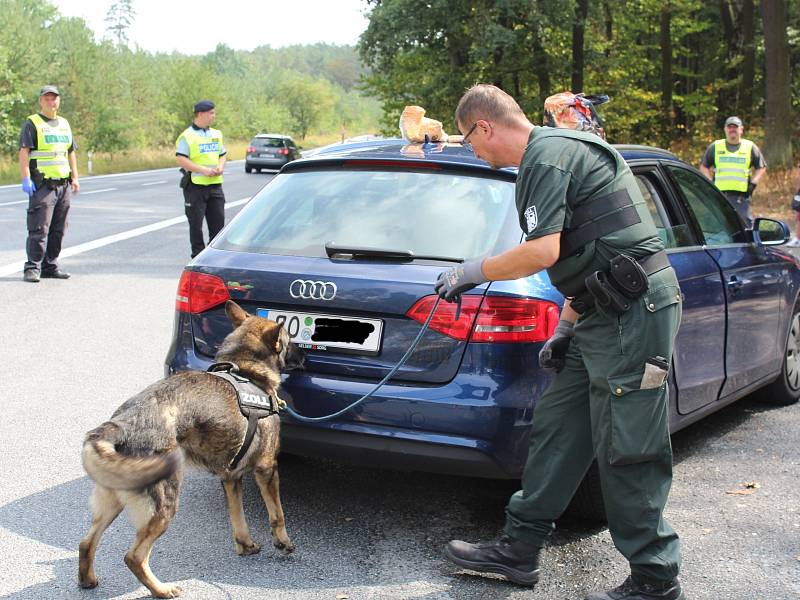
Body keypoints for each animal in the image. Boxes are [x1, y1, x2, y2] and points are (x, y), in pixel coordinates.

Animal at [79, 300, 304, 596]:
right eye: (290, 341)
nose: (306, 356)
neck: (246, 369)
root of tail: (121, 423)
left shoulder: (231, 477)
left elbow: (237, 516)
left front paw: (245, 545)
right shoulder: (266, 469)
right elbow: (277, 514)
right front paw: (283, 542)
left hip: (113, 502)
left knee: (86, 543)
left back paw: (87, 580)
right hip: (165, 503)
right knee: (134, 556)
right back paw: (161, 590)